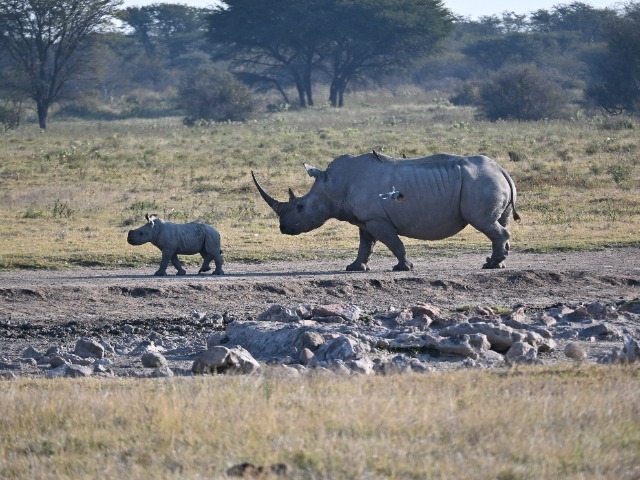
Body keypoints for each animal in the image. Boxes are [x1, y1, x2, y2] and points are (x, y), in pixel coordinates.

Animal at [252, 151, 520, 271]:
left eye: (300, 207)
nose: (283, 228)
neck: (333, 186)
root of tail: (502, 169)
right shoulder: (365, 219)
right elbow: (365, 244)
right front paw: (354, 268)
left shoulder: (377, 219)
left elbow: (393, 242)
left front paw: (403, 267)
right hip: (488, 180)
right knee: (499, 222)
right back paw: (496, 263)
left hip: (481, 182)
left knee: (485, 223)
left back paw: (491, 265)